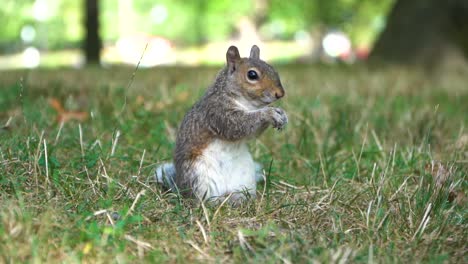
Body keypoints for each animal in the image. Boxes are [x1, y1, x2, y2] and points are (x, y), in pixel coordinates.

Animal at [156, 44, 288, 203]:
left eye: (272, 68)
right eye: (252, 75)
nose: (280, 93)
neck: (247, 104)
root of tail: (181, 188)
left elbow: (251, 133)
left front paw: (282, 115)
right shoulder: (217, 112)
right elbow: (237, 126)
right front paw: (268, 113)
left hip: (245, 176)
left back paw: (238, 199)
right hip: (198, 176)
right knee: (202, 199)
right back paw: (215, 202)